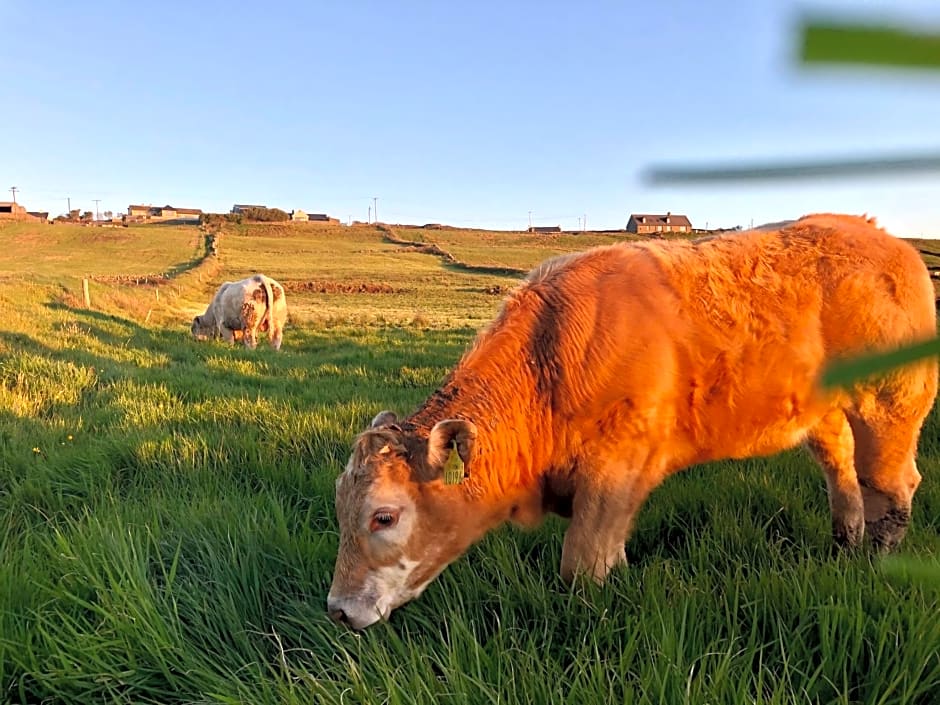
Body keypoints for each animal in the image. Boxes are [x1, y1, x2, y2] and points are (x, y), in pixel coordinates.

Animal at [326, 213, 936, 628]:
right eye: (339, 509)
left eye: (384, 516)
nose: (337, 609)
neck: (551, 361)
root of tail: (886, 240)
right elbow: (611, 548)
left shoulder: (615, 467)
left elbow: (583, 563)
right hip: (825, 415)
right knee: (843, 475)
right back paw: (844, 545)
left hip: (890, 403)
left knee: (892, 484)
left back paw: (875, 559)